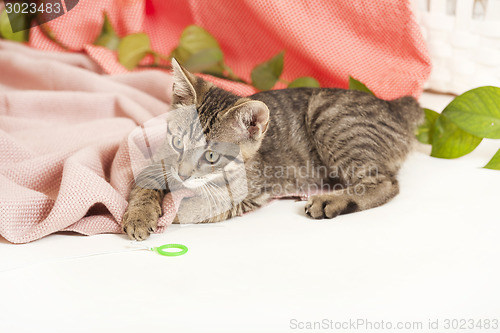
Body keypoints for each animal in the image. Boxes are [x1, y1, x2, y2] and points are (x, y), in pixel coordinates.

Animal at [122, 59, 422, 239]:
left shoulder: (250, 192)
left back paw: (330, 201)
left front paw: (172, 209)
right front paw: (139, 215)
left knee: (386, 183)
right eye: (177, 143)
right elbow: (145, 184)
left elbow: (197, 207)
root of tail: (393, 105)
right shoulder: (160, 160)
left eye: (211, 156)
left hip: (329, 118)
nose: (182, 175)